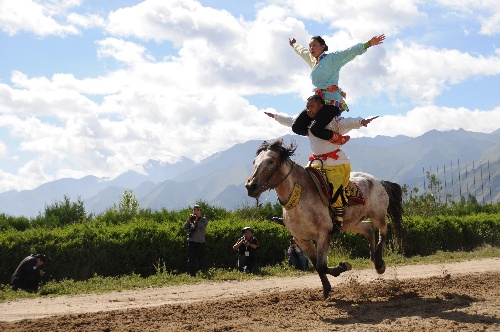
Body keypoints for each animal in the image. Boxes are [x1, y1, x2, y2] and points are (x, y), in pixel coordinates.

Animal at [244, 140, 404, 298]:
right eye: (254, 162)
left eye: (270, 161)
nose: (251, 186)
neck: (300, 197)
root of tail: (378, 181)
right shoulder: (302, 240)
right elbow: (317, 265)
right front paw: (327, 288)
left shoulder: (324, 235)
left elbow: (321, 265)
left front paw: (343, 266)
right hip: (352, 222)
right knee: (369, 229)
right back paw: (374, 259)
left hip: (378, 214)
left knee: (384, 229)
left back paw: (380, 264)